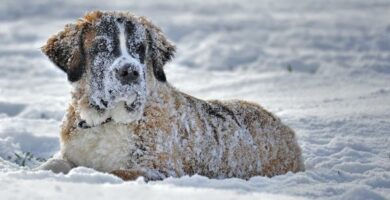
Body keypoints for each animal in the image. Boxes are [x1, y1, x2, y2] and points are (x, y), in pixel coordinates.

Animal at [36, 10, 304, 180]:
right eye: (101, 47)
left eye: (140, 48)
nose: (129, 71)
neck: (107, 121)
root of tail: (285, 128)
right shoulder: (70, 153)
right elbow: (51, 165)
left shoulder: (161, 169)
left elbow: (116, 172)